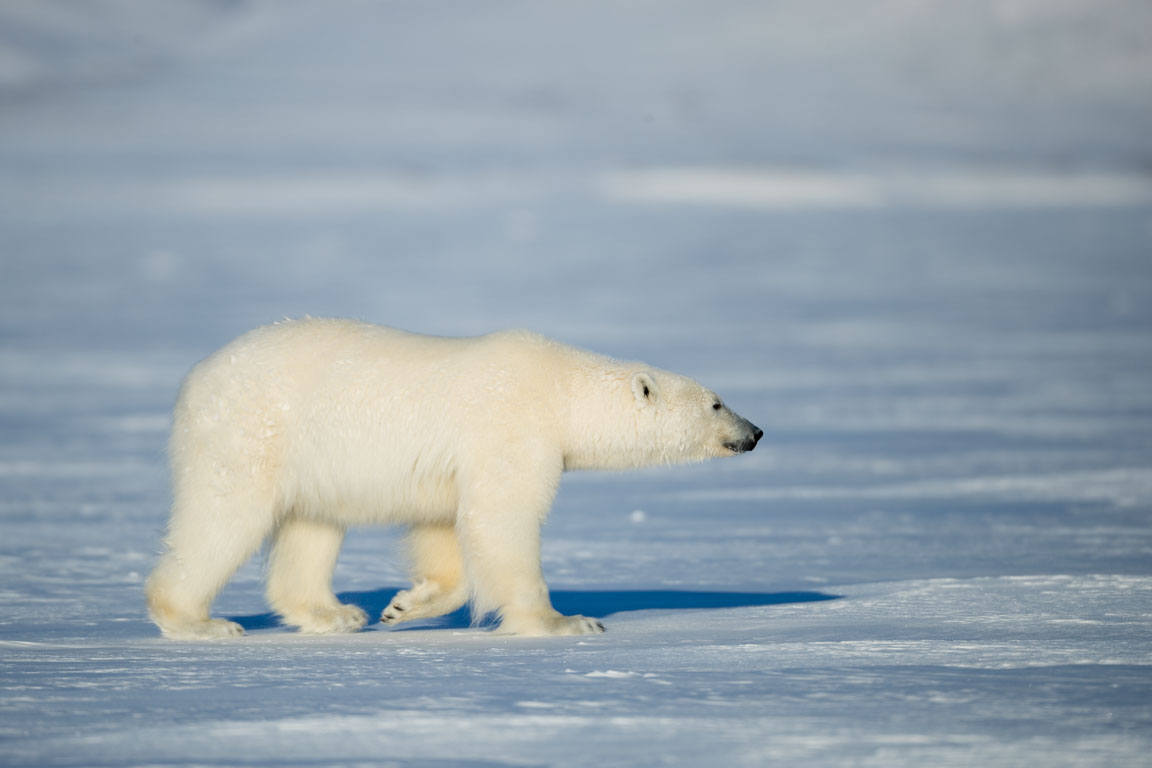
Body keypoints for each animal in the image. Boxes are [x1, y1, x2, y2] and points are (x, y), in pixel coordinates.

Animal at [146, 317, 764, 635]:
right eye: (716, 403)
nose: (755, 431)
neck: (559, 388)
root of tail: (195, 378)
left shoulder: (455, 466)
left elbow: (446, 528)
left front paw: (405, 605)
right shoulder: (511, 427)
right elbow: (502, 518)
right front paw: (564, 622)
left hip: (312, 458)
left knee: (312, 526)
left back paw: (336, 614)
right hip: (250, 432)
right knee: (222, 518)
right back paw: (199, 621)